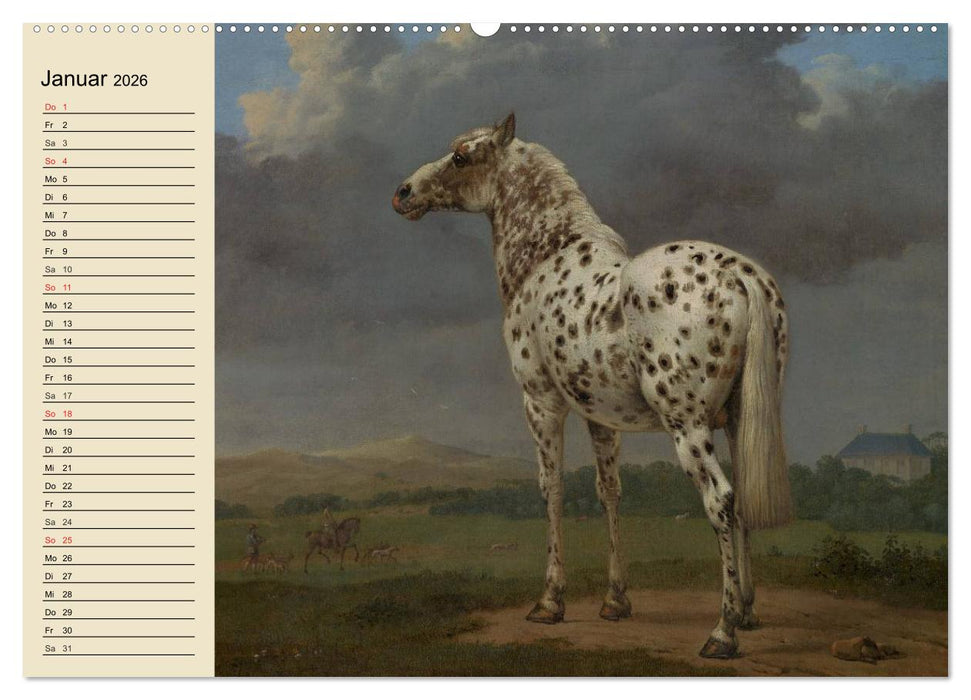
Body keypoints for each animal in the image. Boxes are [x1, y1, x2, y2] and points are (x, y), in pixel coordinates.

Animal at [392, 114, 792, 659]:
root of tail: (740, 277)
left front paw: (549, 602)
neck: (545, 256)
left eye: (459, 157)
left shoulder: (540, 404)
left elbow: (552, 489)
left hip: (688, 427)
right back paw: (748, 612)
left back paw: (722, 631)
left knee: (722, 501)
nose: (403, 193)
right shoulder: (601, 417)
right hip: (736, 421)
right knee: (744, 499)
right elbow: (610, 492)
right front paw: (615, 601)